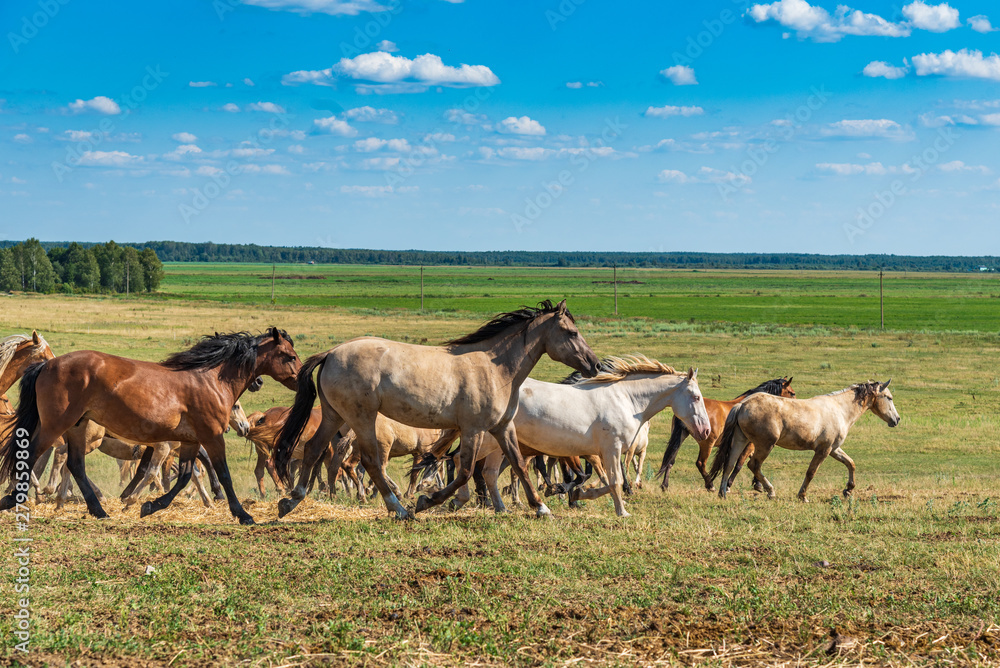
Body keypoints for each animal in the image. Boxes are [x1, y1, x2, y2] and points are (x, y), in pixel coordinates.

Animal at [0, 326, 300, 524]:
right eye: (290, 356)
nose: (301, 379)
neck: (210, 380)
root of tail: (46, 366)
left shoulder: (190, 441)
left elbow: (184, 476)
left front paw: (151, 506)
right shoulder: (212, 437)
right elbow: (222, 475)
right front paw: (242, 514)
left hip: (77, 427)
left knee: (74, 465)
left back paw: (98, 510)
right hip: (56, 425)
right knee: (31, 456)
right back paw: (13, 499)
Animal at [276, 298, 600, 520]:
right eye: (571, 333)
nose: (595, 365)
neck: (496, 369)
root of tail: (331, 353)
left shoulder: (502, 426)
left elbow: (518, 464)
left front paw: (541, 507)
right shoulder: (473, 429)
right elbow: (464, 470)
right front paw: (427, 502)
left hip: (335, 415)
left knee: (314, 450)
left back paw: (291, 501)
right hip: (361, 418)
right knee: (369, 462)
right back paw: (398, 508)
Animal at [472, 354, 716, 516]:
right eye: (696, 397)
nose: (705, 431)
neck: (625, 399)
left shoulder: (600, 454)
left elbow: (605, 481)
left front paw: (579, 494)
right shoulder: (612, 449)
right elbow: (615, 481)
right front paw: (622, 512)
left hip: (499, 447)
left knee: (489, 473)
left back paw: (501, 508)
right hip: (492, 443)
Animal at [656, 376, 796, 490]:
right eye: (792, 393)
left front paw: (758, 484)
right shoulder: (750, 445)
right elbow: (740, 464)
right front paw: (729, 485)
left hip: (681, 437)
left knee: (670, 461)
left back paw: (665, 485)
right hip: (707, 443)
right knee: (700, 463)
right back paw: (710, 485)